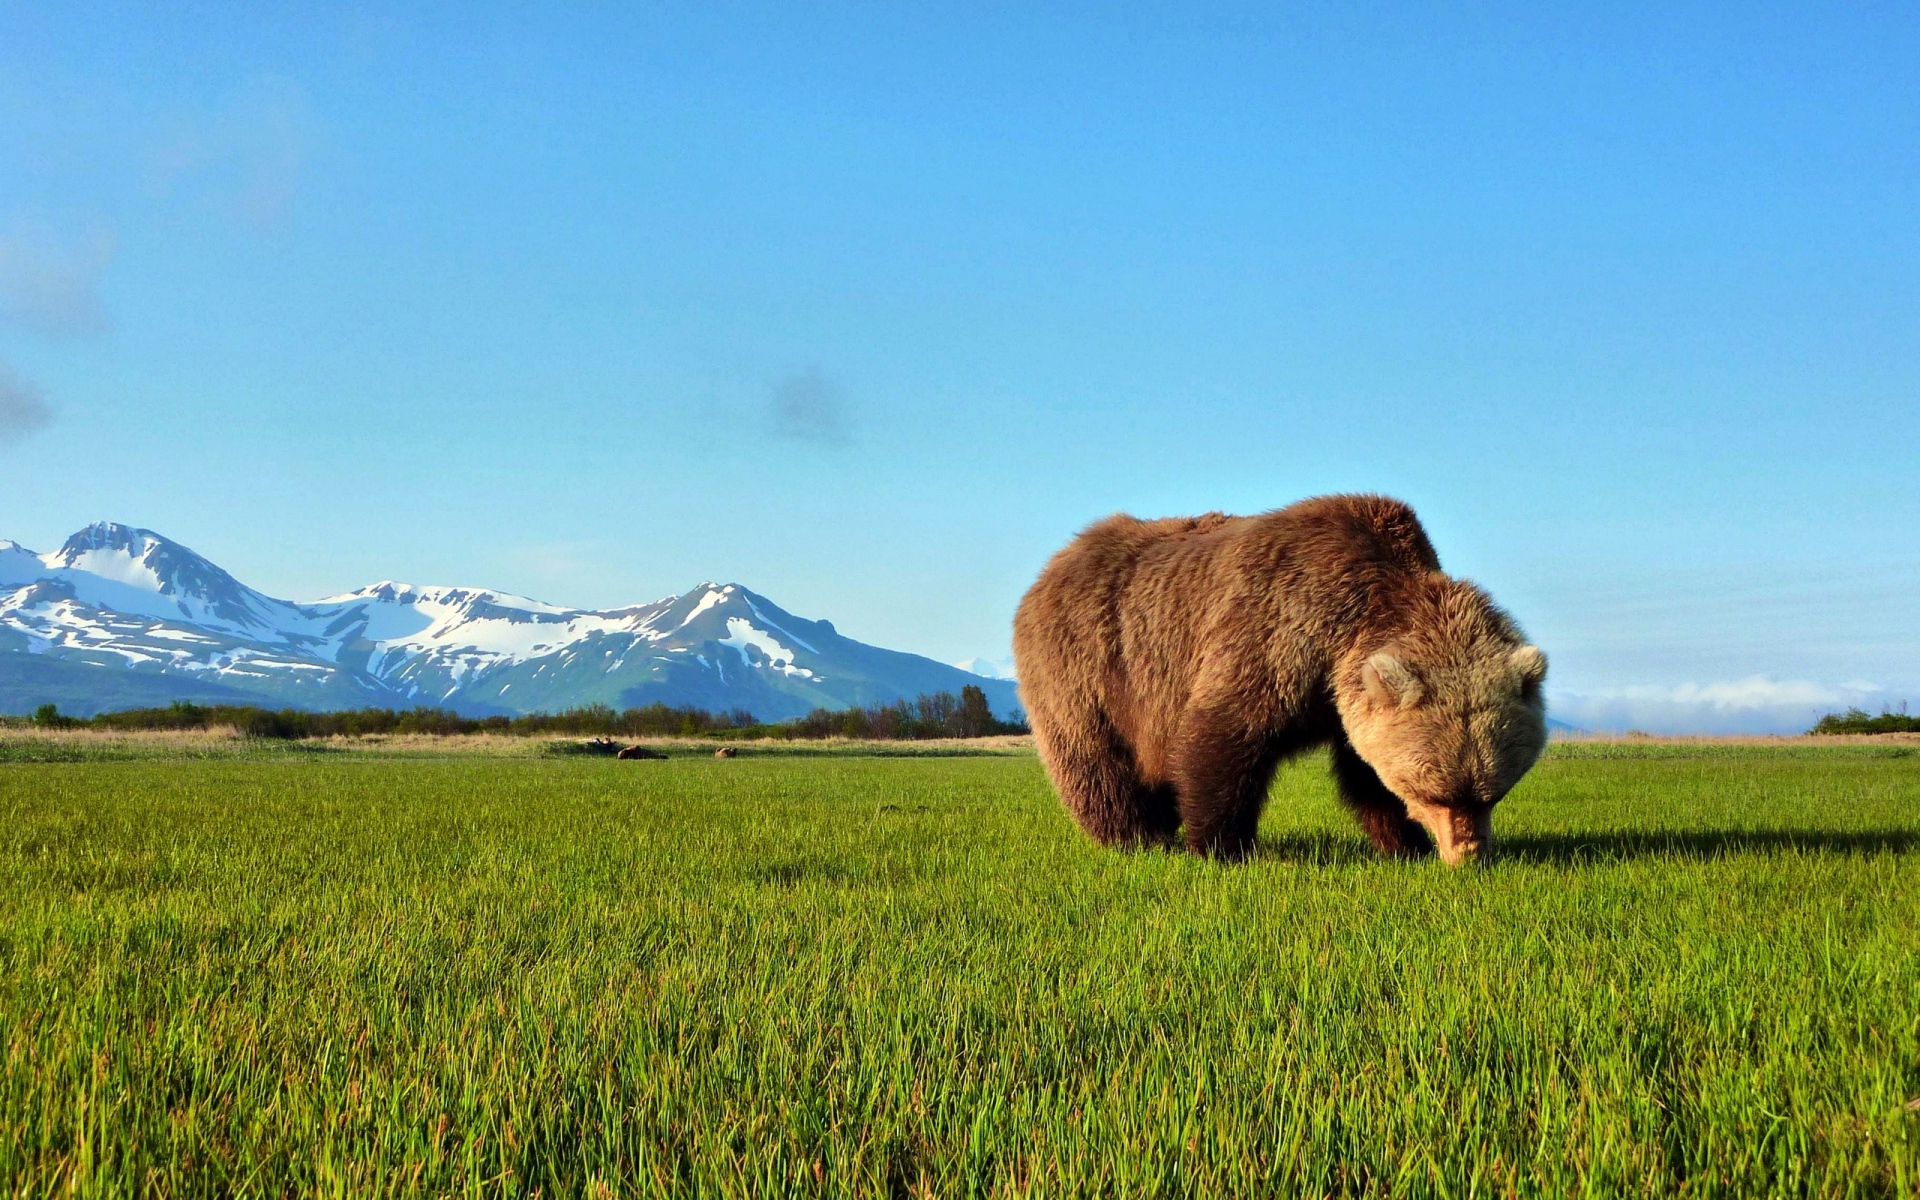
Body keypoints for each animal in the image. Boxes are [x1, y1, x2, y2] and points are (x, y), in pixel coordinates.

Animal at [1013, 491, 1551, 864]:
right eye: (1435, 792)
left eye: (1494, 791)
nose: (1469, 855)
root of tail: (1056, 562)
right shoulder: (1277, 630)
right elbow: (1223, 737)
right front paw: (1221, 847)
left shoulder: (1343, 695)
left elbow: (1364, 773)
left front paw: (1404, 842)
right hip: (1089, 665)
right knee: (1095, 761)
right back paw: (1136, 838)